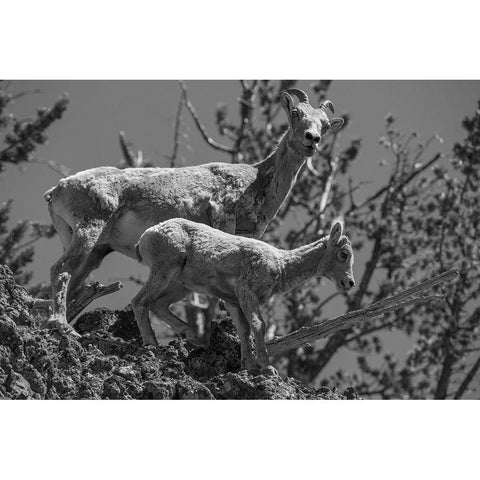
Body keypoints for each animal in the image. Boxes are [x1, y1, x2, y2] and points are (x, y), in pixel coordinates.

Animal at [43, 88, 344, 340]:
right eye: (295, 113)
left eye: (326, 125)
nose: (312, 140)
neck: (259, 179)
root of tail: (58, 190)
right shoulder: (224, 219)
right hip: (89, 230)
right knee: (60, 269)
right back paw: (62, 326)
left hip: (95, 249)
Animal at [133, 216, 354, 374]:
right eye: (343, 254)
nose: (350, 283)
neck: (281, 266)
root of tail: (145, 237)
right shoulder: (246, 291)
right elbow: (258, 324)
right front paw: (267, 367)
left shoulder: (234, 300)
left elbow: (244, 330)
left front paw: (249, 366)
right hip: (165, 268)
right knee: (140, 301)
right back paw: (152, 343)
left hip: (180, 285)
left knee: (158, 304)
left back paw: (191, 335)